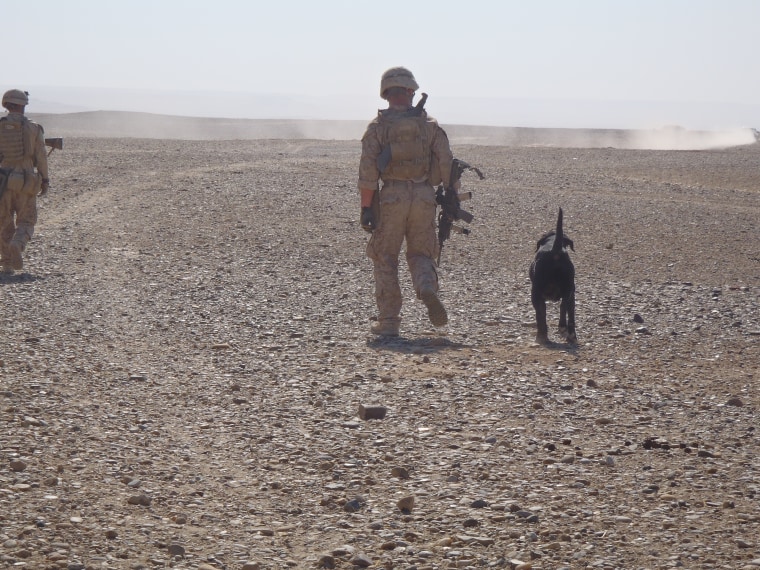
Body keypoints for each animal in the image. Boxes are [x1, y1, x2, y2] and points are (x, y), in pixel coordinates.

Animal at [528, 207, 576, 344]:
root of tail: (556, 250)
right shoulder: (572, 293)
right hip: (569, 290)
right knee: (566, 308)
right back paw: (570, 334)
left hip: (536, 293)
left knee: (541, 314)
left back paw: (541, 335)